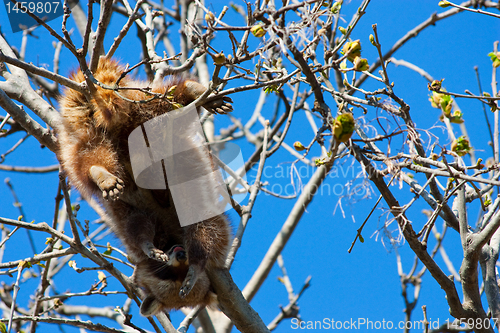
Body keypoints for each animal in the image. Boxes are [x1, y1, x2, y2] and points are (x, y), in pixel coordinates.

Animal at [56, 56, 232, 308]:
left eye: (179, 272)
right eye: (166, 274)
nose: (181, 255)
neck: (171, 239)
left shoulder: (203, 217)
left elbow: (208, 231)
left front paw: (197, 264)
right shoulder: (135, 225)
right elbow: (137, 226)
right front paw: (148, 244)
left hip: (128, 121)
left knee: (165, 107)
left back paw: (191, 91)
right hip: (129, 119)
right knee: (90, 158)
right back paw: (100, 172)